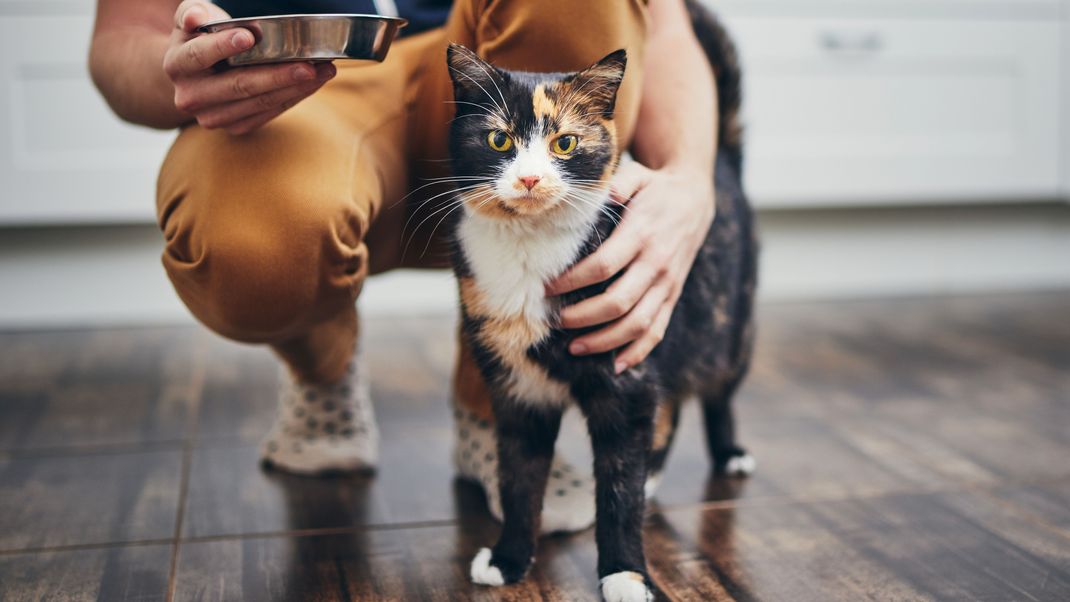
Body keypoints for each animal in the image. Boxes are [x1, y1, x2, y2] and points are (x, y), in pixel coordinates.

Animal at [442, 3, 753, 598]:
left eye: (564, 143)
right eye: (499, 142)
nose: (530, 178)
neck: (528, 250)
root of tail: (721, 163)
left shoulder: (624, 377)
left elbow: (617, 488)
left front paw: (625, 573)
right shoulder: (517, 389)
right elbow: (518, 479)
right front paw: (508, 558)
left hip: (728, 325)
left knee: (717, 392)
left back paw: (728, 452)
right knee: (670, 408)